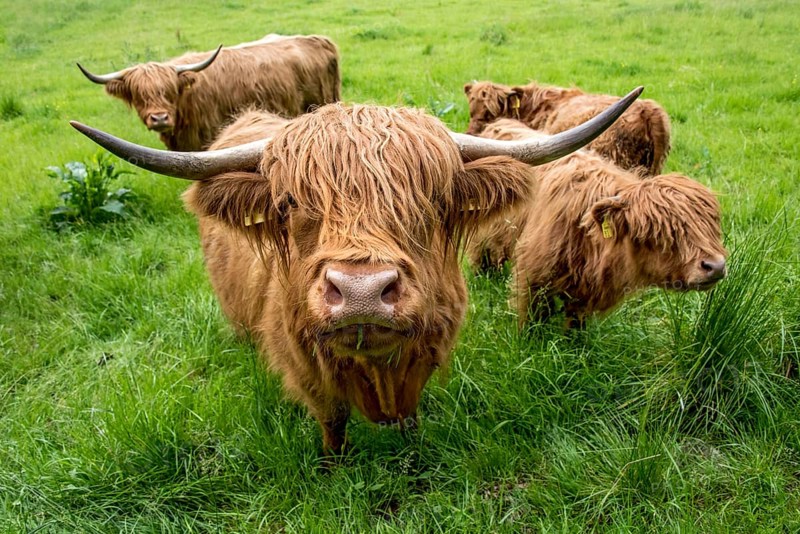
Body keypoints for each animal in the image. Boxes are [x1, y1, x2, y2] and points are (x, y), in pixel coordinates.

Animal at [70, 88, 640, 454]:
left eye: (433, 201)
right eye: (289, 203)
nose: (362, 292)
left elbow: (410, 418)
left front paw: (414, 460)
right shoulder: (307, 370)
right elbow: (333, 423)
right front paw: (333, 468)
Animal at [470, 119, 727, 329]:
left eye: (712, 224)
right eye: (660, 231)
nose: (715, 266)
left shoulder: (585, 294)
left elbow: (575, 325)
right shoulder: (533, 279)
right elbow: (532, 321)